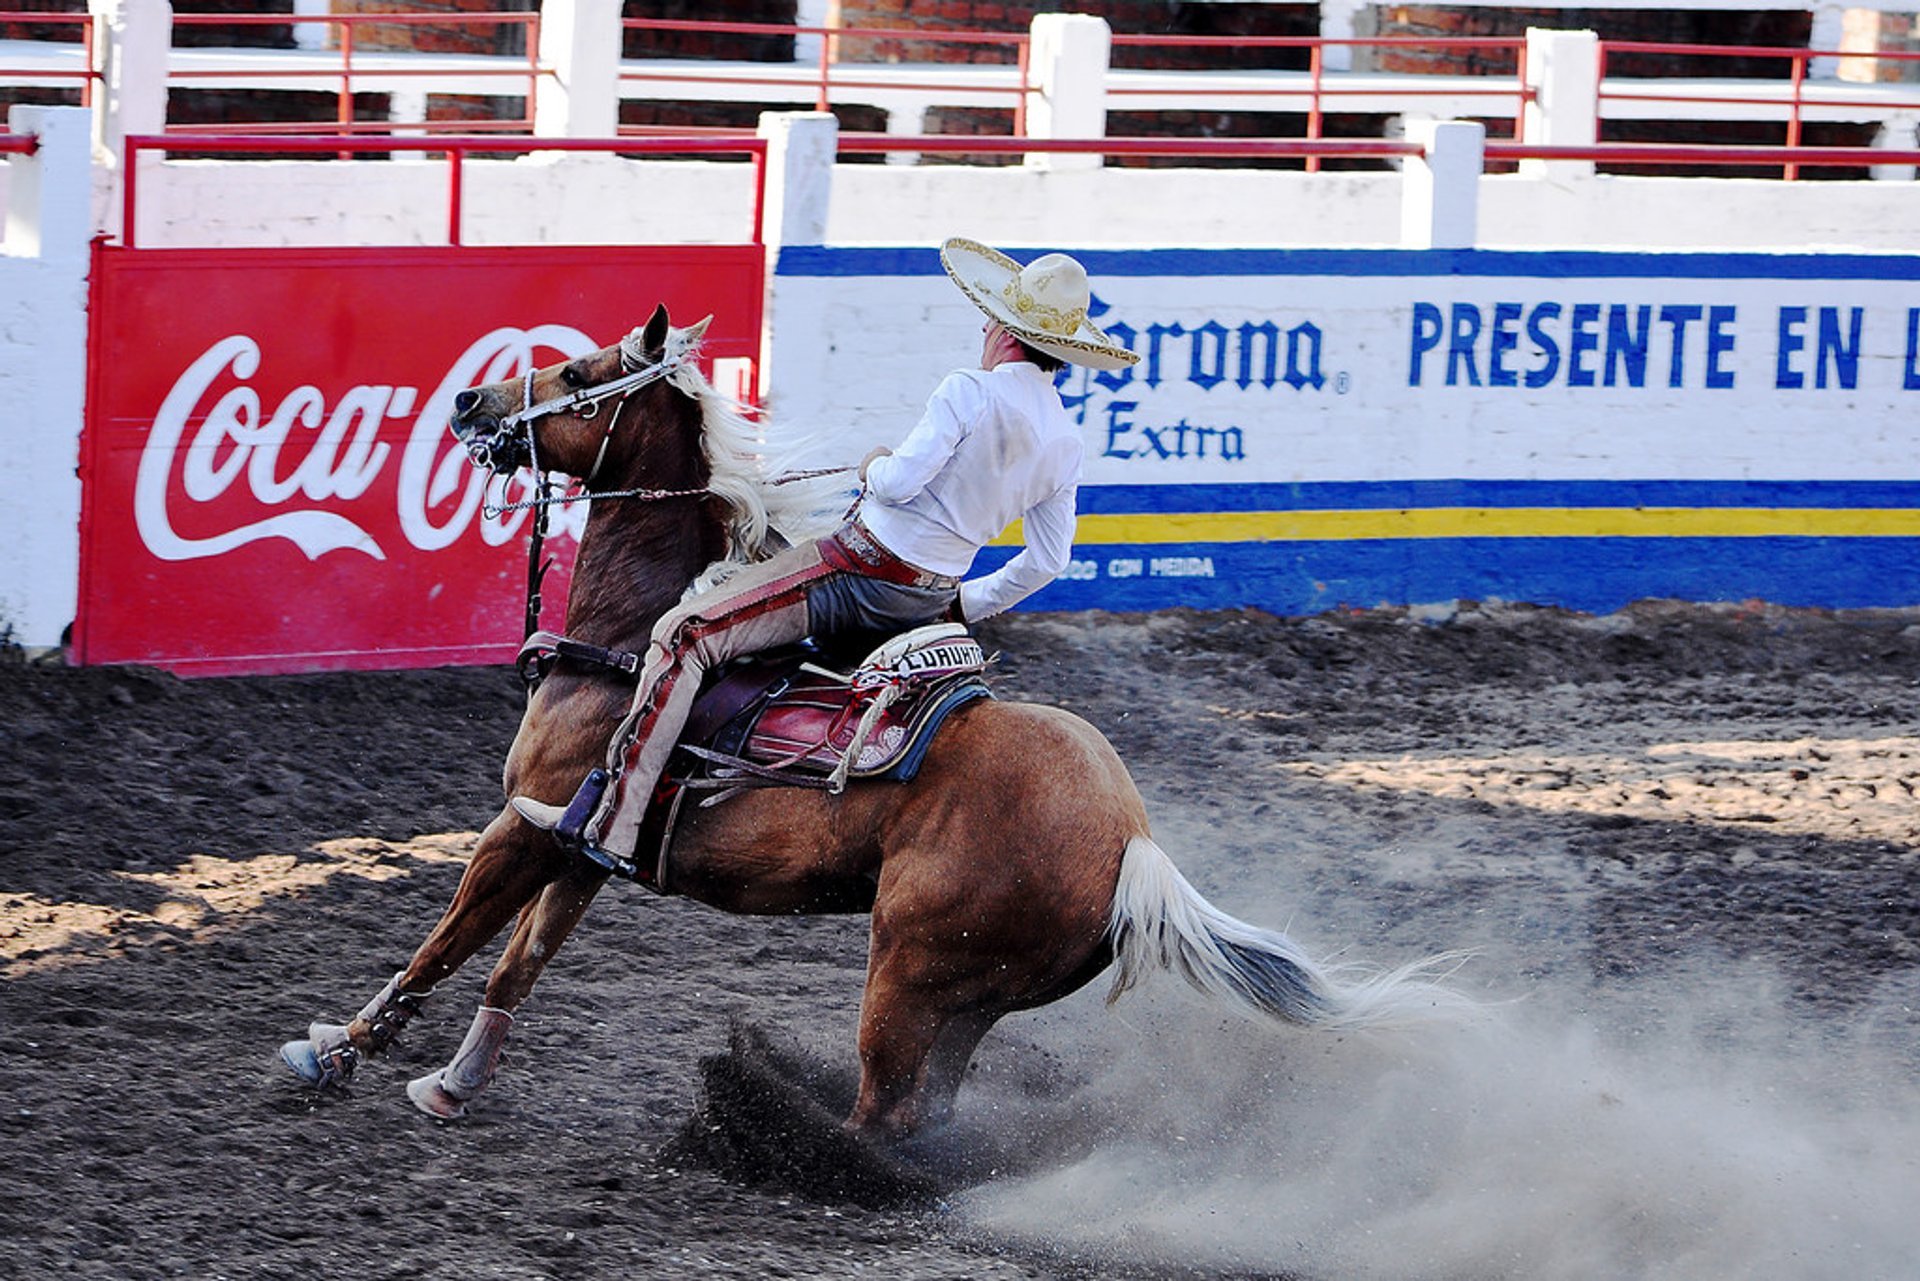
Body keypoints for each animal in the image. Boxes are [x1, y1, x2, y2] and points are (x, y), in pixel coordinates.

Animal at [274, 303, 1466, 1144]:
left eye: (581, 373)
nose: (470, 403)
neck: (622, 643)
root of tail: (1132, 841)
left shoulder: (521, 827)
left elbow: (444, 944)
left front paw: (336, 1050)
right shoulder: (584, 846)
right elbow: (515, 968)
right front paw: (453, 1084)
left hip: (906, 969)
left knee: (883, 1121)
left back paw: (772, 1143)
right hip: (969, 1001)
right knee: (925, 1117)